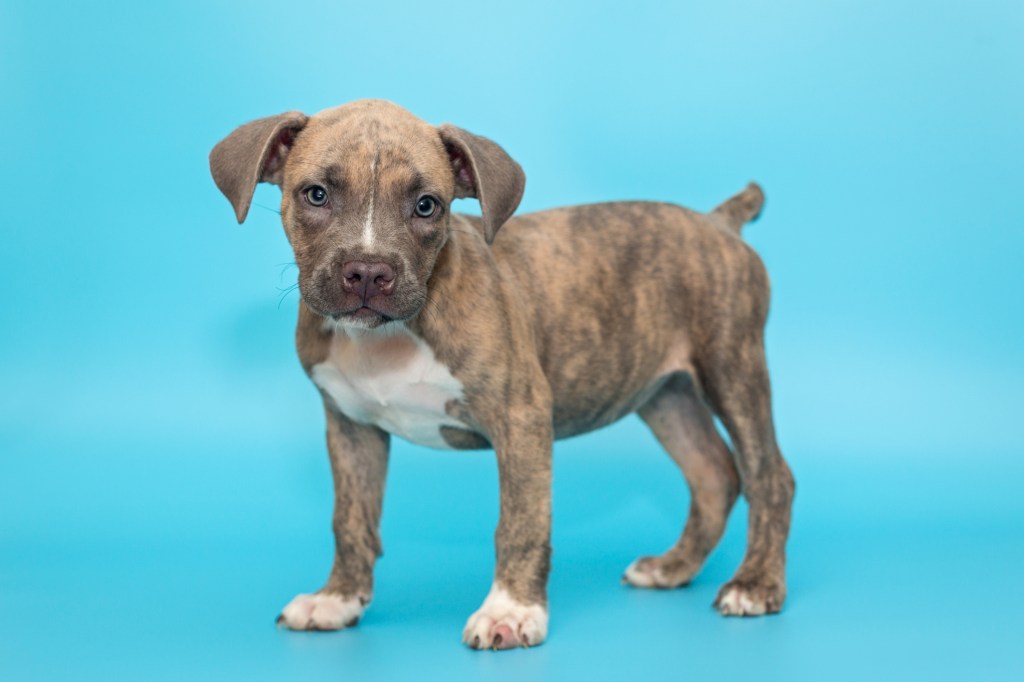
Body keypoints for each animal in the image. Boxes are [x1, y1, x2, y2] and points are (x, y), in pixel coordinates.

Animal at [207, 99, 794, 647]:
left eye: (427, 206)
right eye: (316, 195)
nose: (370, 272)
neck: (387, 338)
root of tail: (717, 221)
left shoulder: (522, 419)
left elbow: (520, 522)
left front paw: (511, 611)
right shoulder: (351, 427)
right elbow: (350, 520)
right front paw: (338, 598)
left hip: (733, 368)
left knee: (769, 476)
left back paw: (754, 584)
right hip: (665, 395)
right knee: (714, 473)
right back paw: (674, 567)